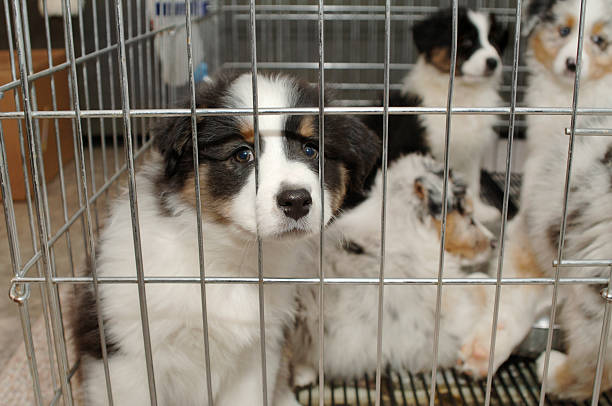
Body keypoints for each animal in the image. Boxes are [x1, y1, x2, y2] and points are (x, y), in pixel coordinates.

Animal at [71, 71, 378, 404]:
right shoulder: (127, 357)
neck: (228, 261)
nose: (296, 200)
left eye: (311, 150)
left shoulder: (257, 355)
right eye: (242, 154)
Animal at [364, 6, 506, 224]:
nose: (493, 62)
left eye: (494, 42)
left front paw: (480, 211)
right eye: (466, 41)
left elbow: (473, 184)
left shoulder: (471, 153)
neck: (463, 96)